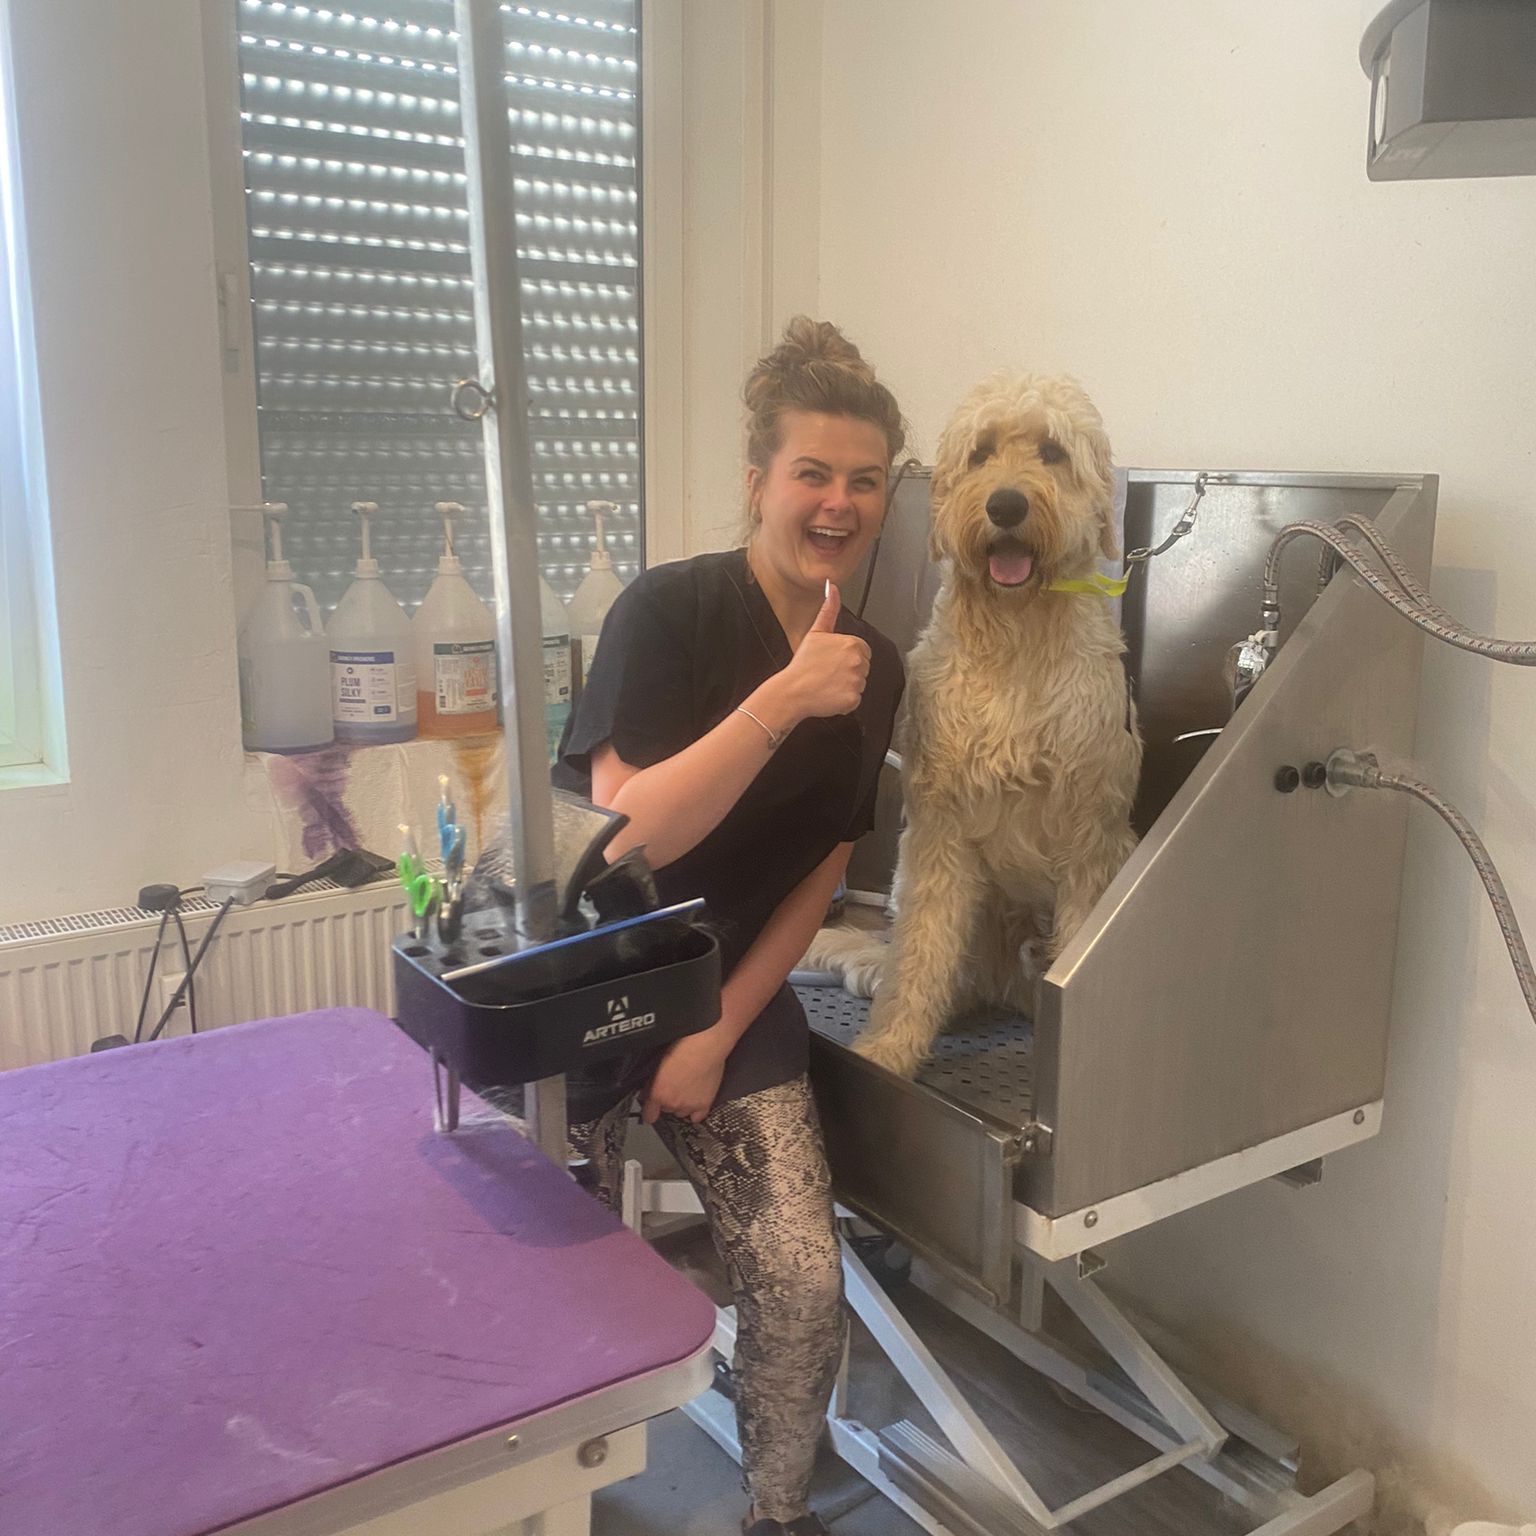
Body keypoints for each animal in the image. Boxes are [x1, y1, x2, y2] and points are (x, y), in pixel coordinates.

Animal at [804, 368, 1142, 1081]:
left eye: (1051, 451)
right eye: (981, 453)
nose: (1006, 506)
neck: (1016, 635)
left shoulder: (1091, 838)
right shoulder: (939, 830)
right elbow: (921, 949)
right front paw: (891, 1047)